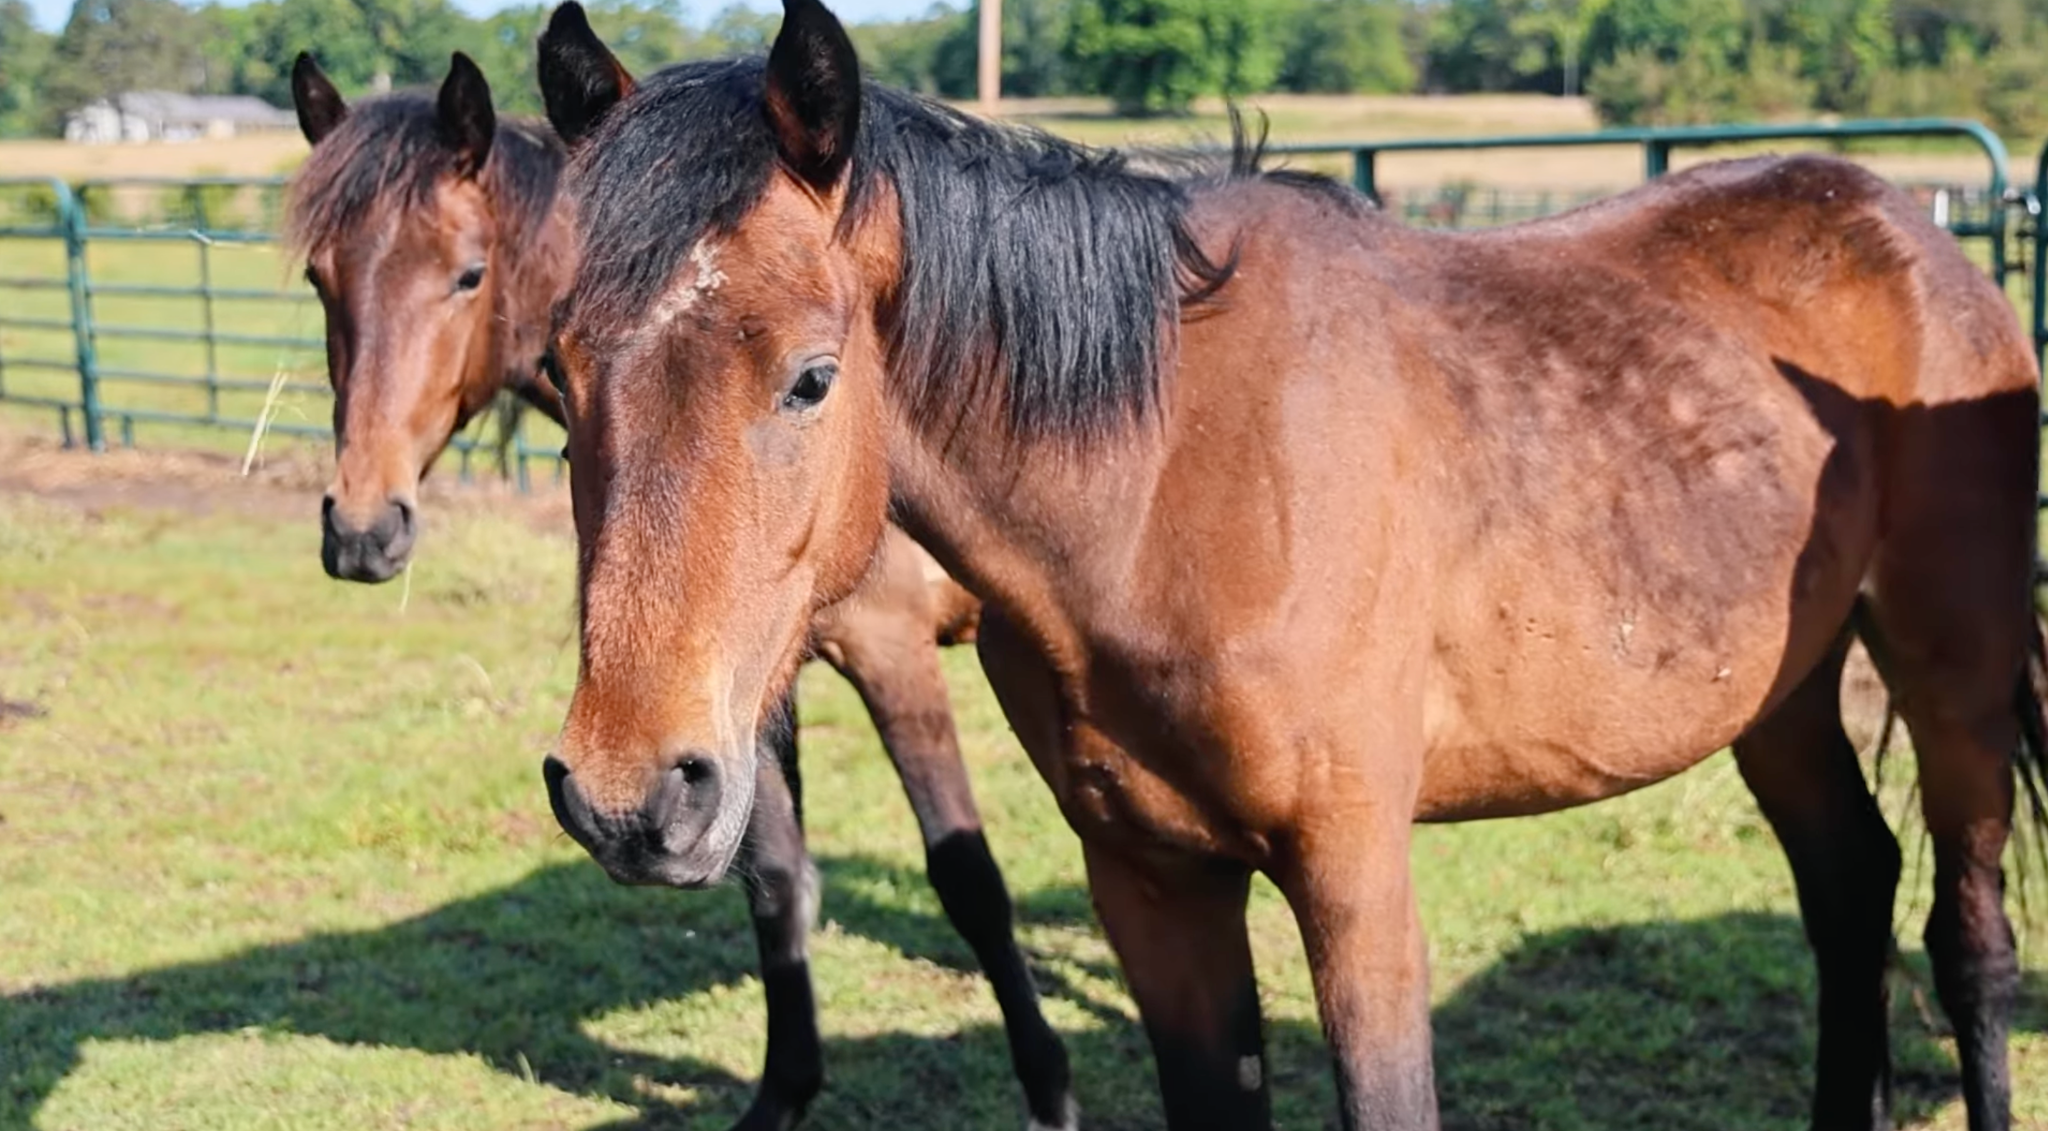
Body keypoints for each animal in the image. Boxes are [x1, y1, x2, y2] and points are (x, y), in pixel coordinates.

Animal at [284, 52, 1071, 1131]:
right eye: (320, 279)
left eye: (467, 275)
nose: (361, 529)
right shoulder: (738, 697)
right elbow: (773, 877)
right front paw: (784, 1090)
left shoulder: (893, 653)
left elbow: (969, 878)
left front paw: (1050, 1085)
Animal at [531, 2, 2048, 1128]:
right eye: (560, 371)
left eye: (810, 377)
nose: (633, 796)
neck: (1167, 483)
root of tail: (1910, 230)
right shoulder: (1152, 889)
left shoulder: (1354, 879)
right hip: (1775, 691)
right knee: (1849, 888)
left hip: (1952, 670)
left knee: (1967, 943)